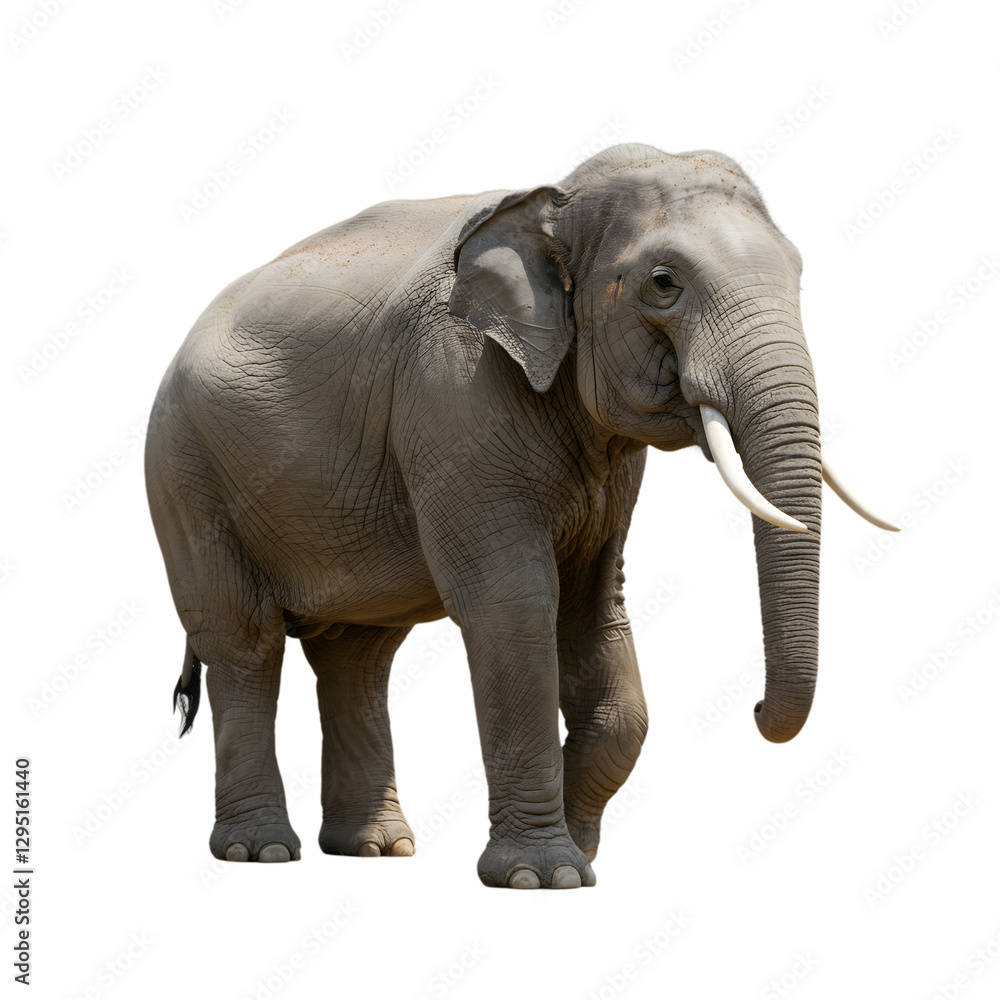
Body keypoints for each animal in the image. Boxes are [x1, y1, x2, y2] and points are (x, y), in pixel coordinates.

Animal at [145, 142, 896, 889]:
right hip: (185, 476)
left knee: (358, 656)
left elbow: (594, 607)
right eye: (663, 283)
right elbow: (513, 603)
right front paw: (545, 876)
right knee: (245, 643)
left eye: (799, 272)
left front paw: (583, 855)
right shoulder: (454, 395)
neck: (552, 201)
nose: (757, 708)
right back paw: (261, 853)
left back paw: (376, 850)